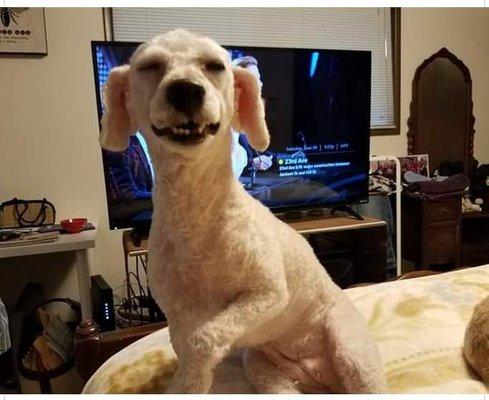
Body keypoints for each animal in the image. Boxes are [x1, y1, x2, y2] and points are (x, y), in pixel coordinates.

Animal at [100, 29, 386, 396]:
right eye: (149, 66)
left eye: (215, 66)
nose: (186, 90)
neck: (197, 214)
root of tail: (321, 378)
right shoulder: (178, 315)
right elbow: (187, 349)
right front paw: (188, 384)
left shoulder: (267, 294)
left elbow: (203, 340)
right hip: (263, 367)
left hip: (351, 350)